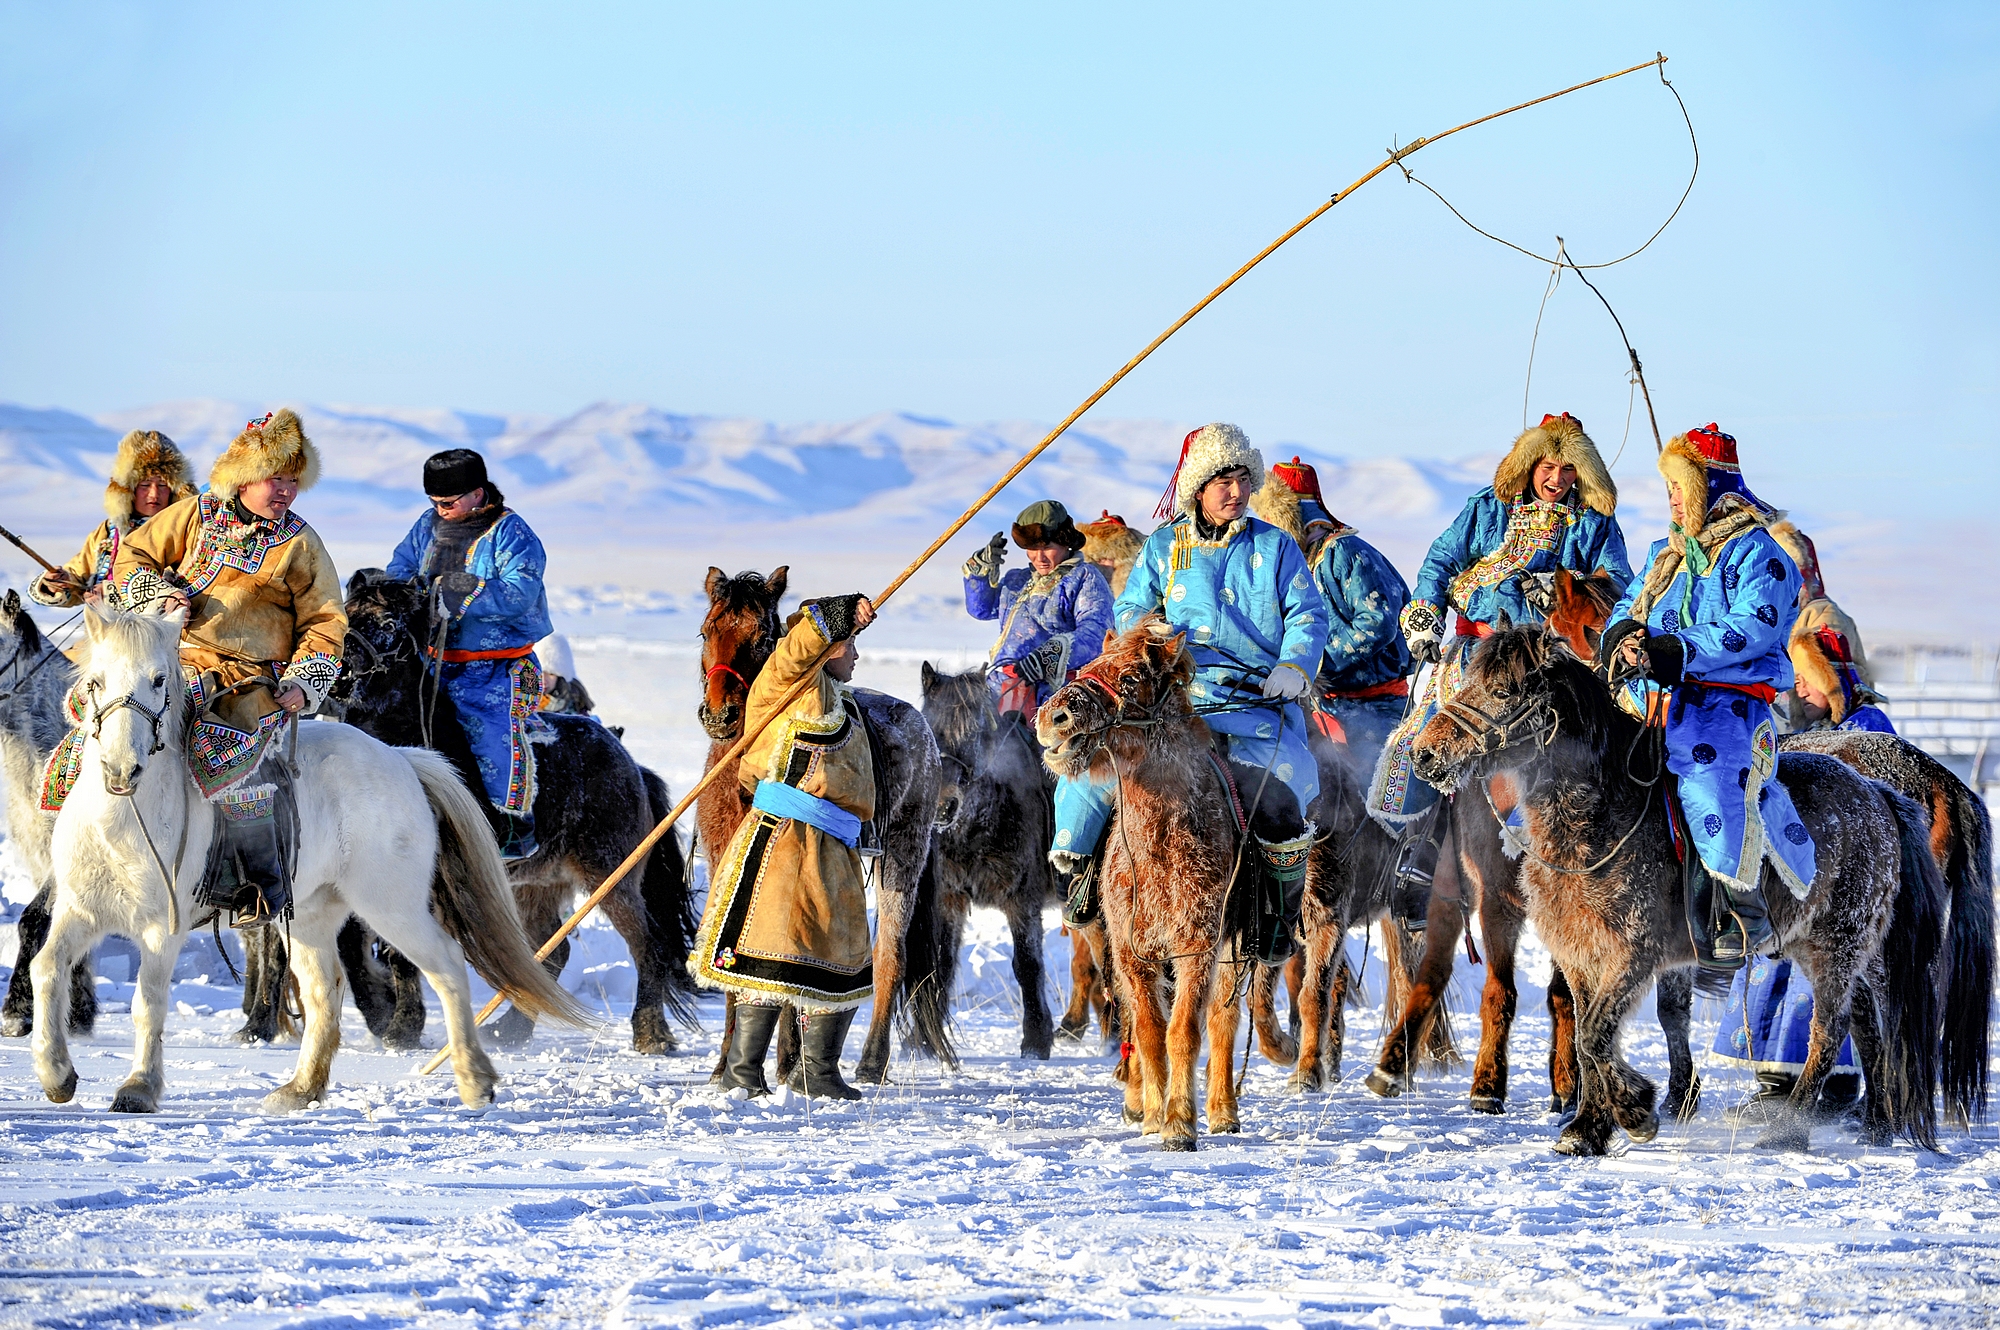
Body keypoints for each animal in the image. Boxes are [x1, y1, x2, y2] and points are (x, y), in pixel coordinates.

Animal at [35, 604, 584, 1112]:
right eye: (95, 681)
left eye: (158, 679)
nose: (122, 767)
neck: (122, 823)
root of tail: (403, 759)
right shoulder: (81, 911)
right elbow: (47, 968)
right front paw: (56, 1075)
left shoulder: (161, 928)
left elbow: (148, 1003)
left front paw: (138, 1089)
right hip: (311, 914)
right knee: (324, 991)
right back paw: (299, 1090)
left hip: (391, 905)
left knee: (446, 965)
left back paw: (474, 1080)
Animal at [700, 564, 956, 1088]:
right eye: (706, 631)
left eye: (762, 636)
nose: (720, 714)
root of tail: (923, 729)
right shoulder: (724, 864)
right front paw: (723, 1067)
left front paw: (786, 1064)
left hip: (904, 850)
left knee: (888, 955)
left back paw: (871, 1062)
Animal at [1040, 616, 1288, 1144]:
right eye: (1088, 667)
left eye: (1132, 678)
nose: (1052, 718)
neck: (1162, 845)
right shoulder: (1132, 951)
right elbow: (1148, 1029)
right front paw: (1153, 1112)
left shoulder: (1198, 945)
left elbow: (1184, 1031)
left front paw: (1180, 1121)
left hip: (1233, 948)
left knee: (1222, 1020)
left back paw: (1222, 1109)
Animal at [1416, 624, 1960, 1152]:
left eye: (1501, 690)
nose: (1425, 755)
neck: (1602, 821)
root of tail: (1879, 795)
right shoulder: (1580, 956)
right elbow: (1589, 1041)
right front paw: (1587, 1129)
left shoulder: (1631, 954)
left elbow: (1594, 1035)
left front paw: (1635, 1111)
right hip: (1826, 945)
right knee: (1866, 1022)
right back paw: (1877, 1125)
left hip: (1839, 945)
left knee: (1831, 1031)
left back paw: (1789, 1131)